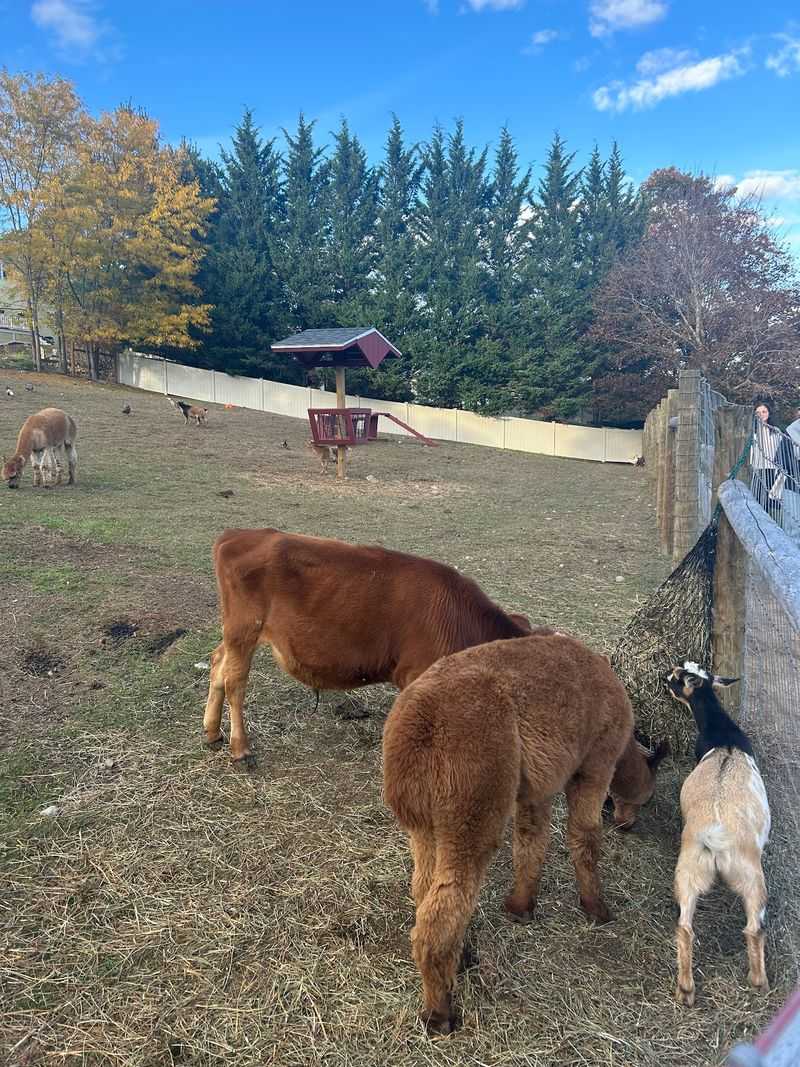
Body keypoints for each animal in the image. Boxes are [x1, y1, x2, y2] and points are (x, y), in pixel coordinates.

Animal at [384, 633, 668, 1033]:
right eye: (648, 796)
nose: (629, 823)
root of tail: (417, 724)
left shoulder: (536, 787)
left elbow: (531, 841)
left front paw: (521, 907)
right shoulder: (594, 762)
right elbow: (584, 837)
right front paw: (596, 908)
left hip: (424, 821)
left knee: (424, 888)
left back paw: (462, 955)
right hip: (472, 794)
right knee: (443, 908)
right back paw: (440, 1015)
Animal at [666, 663, 770, 1006]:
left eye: (679, 675)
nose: (665, 676)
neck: (724, 737)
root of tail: (717, 837)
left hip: (690, 871)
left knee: (686, 926)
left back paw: (687, 989)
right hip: (749, 877)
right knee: (753, 928)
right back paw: (757, 981)